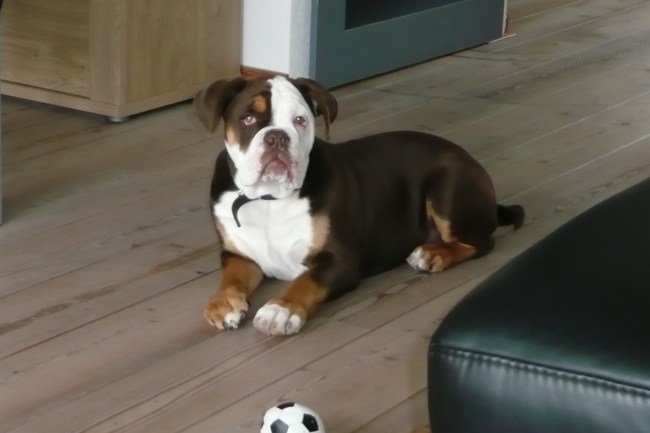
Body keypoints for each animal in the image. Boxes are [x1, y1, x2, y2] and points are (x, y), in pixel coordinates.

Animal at [194, 75, 524, 336]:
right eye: (248, 119)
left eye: (300, 121)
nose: (277, 137)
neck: (269, 199)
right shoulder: (239, 255)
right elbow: (231, 277)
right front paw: (223, 303)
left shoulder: (339, 260)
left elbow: (306, 282)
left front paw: (281, 310)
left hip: (446, 188)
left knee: (481, 242)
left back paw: (433, 254)